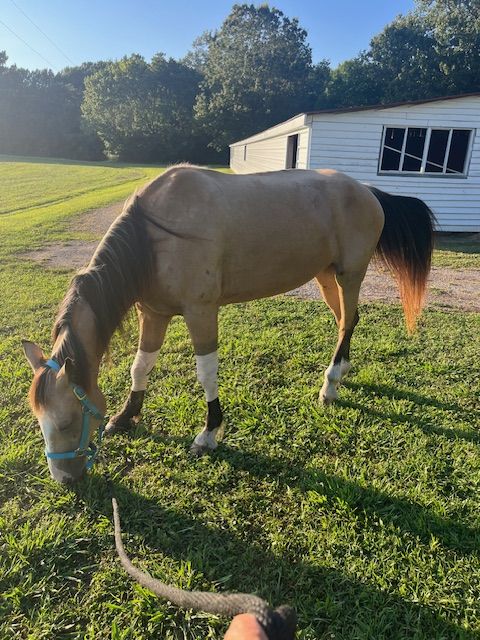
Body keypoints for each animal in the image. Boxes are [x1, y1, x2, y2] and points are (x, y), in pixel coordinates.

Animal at [23, 166, 435, 483]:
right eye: (39, 421)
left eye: (65, 422)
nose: (66, 479)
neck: (153, 236)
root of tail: (366, 190)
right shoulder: (152, 313)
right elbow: (140, 366)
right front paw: (126, 417)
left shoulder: (201, 312)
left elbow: (206, 374)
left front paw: (208, 434)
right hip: (325, 274)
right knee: (345, 322)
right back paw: (341, 371)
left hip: (350, 274)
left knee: (348, 321)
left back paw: (330, 384)